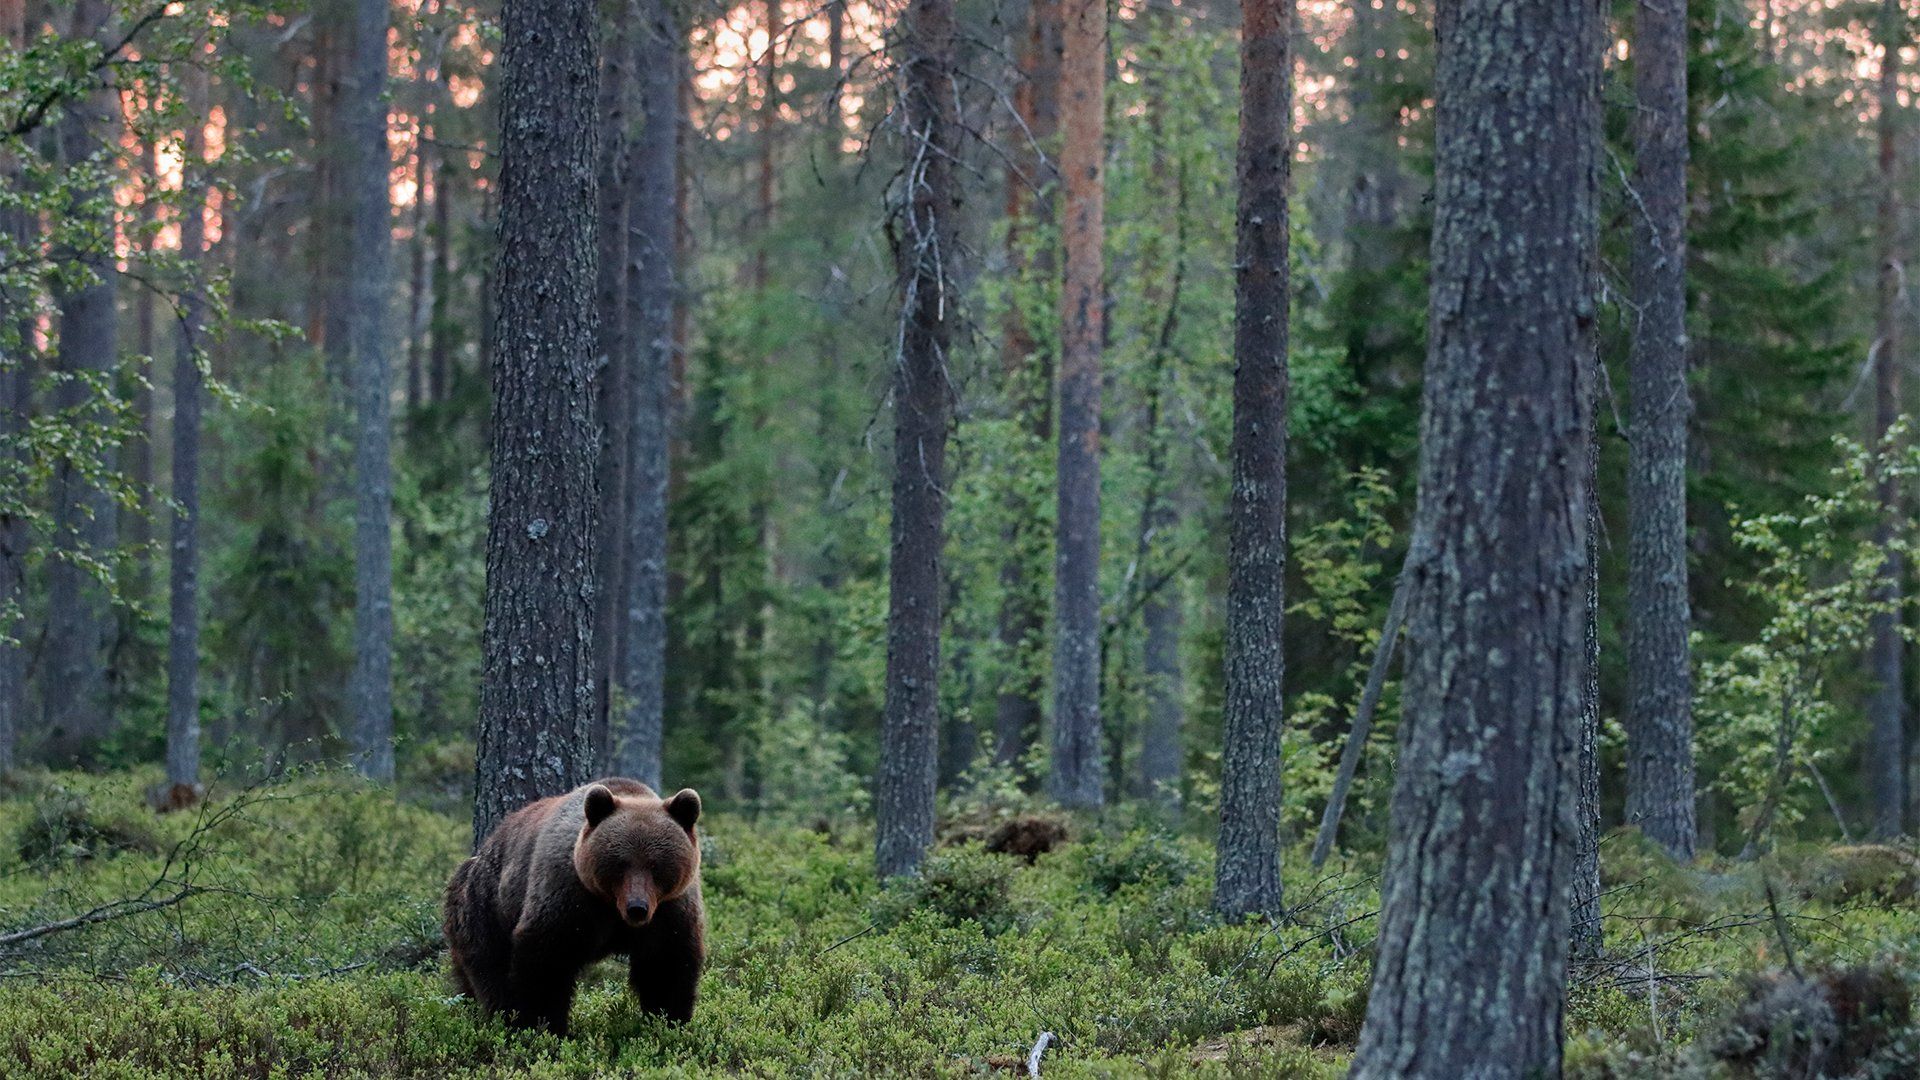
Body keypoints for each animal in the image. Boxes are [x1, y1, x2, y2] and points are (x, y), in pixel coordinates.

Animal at [441, 768, 706, 1030]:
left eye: (656, 866)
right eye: (621, 864)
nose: (637, 908)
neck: (612, 907)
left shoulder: (669, 909)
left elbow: (665, 965)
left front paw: (669, 1021)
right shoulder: (568, 896)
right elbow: (547, 960)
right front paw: (543, 1025)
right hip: (485, 906)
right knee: (492, 971)